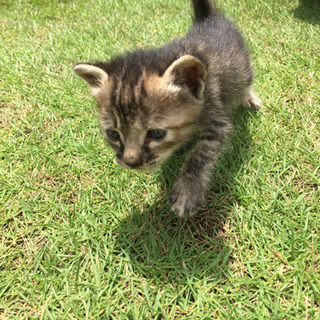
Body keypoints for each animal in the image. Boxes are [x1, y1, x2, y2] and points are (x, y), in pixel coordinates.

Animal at [73, 0, 262, 218]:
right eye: (113, 134)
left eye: (156, 134)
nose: (130, 162)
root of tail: (208, 19)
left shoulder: (216, 114)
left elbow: (202, 153)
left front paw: (188, 190)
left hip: (243, 67)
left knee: (247, 80)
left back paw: (249, 96)